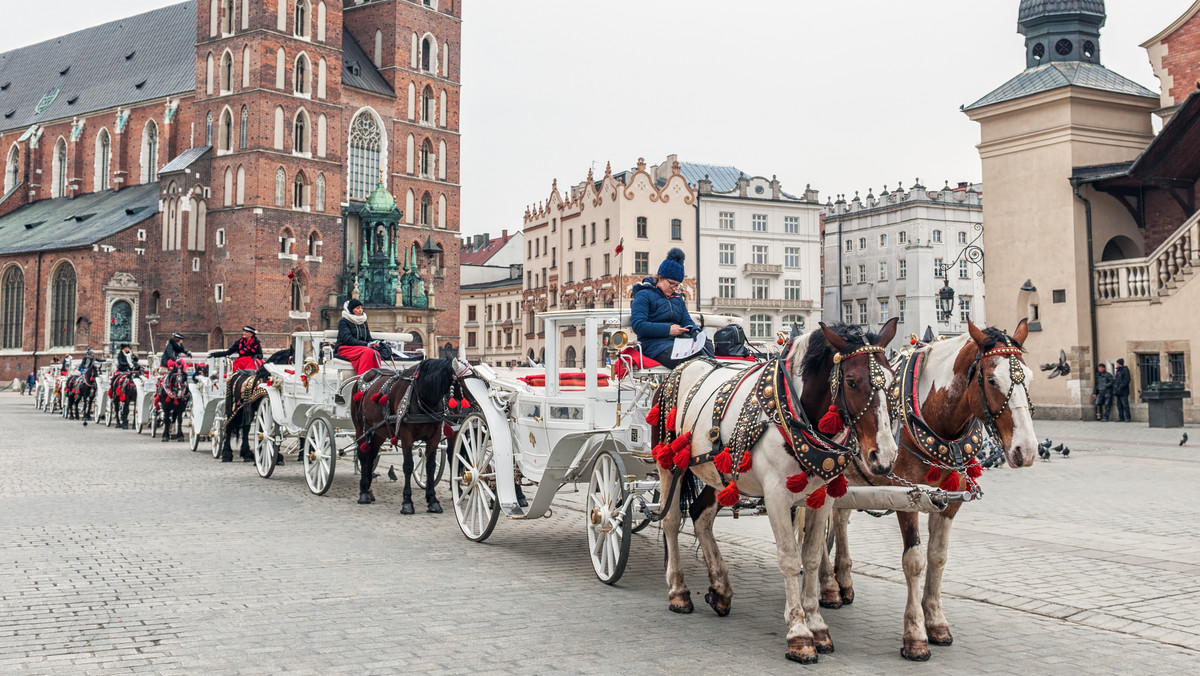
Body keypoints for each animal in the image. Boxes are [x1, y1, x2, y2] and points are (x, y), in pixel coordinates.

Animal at [350, 360, 458, 513]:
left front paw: (433, 501)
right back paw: (364, 493)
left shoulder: (435, 437)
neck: (422, 400)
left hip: (378, 433)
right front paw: (407, 503)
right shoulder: (407, 436)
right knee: (362, 456)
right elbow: (408, 466)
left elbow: (430, 466)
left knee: (371, 456)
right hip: (360, 428)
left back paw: (368, 490)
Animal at [652, 319, 897, 662]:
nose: (884, 457)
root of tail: (683, 367)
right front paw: (799, 634)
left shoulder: (821, 497)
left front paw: (818, 626)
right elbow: (790, 559)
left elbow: (811, 557)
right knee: (672, 521)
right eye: (851, 381)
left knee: (701, 517)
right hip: (668, 463)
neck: (795, 413)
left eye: (892, 380)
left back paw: (720, 590)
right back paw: (679, 592)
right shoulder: (777, 496)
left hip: (720, 474)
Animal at [816, 319, 1041, 662]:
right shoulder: (905, 496)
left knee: (838, 520)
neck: (932, 414)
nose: (1026, 451)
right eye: (991, 379)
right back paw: (828, 586)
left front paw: (935, 621)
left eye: (1028, 376)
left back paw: (841, 581)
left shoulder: (951, 499)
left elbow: (937, 558)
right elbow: (914, 561)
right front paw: (915, 636)